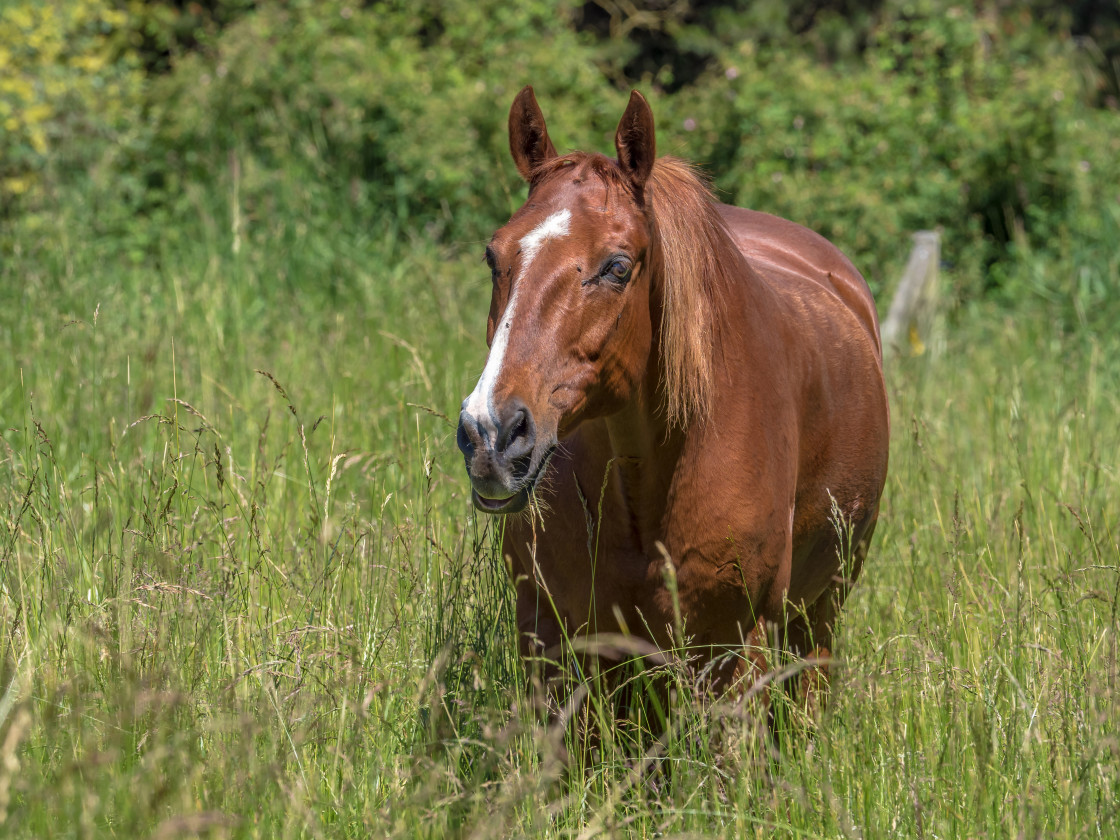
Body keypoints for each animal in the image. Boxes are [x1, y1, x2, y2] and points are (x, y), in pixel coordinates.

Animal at [452, 89, 882, 712]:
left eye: (617, 266)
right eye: (493, 257)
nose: (491, 434)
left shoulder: (735, 651)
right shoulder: (559, 644)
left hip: (818, 615)